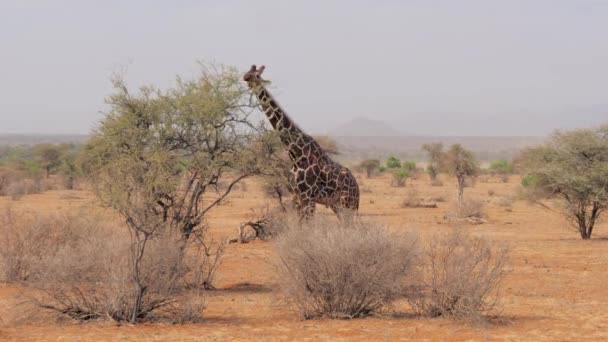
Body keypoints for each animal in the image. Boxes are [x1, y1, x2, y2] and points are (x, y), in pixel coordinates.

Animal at [243, 65, 358, 219]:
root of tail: (357, 188)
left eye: (257, 75)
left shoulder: (308, 197)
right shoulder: (296, 196)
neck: (296, 154)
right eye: (248, 71)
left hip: (348, 204)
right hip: (337, 205)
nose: (245, 77)